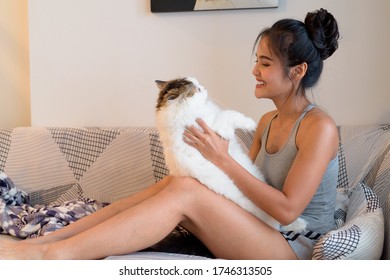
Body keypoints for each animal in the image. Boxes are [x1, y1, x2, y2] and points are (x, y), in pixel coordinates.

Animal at [155, 76, 304, 232]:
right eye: (198, 90)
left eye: (200, 85)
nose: (205, 87)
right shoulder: (213, 126)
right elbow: (229, 115)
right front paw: (247, 125)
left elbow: (231, 115)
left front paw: (250, 124)